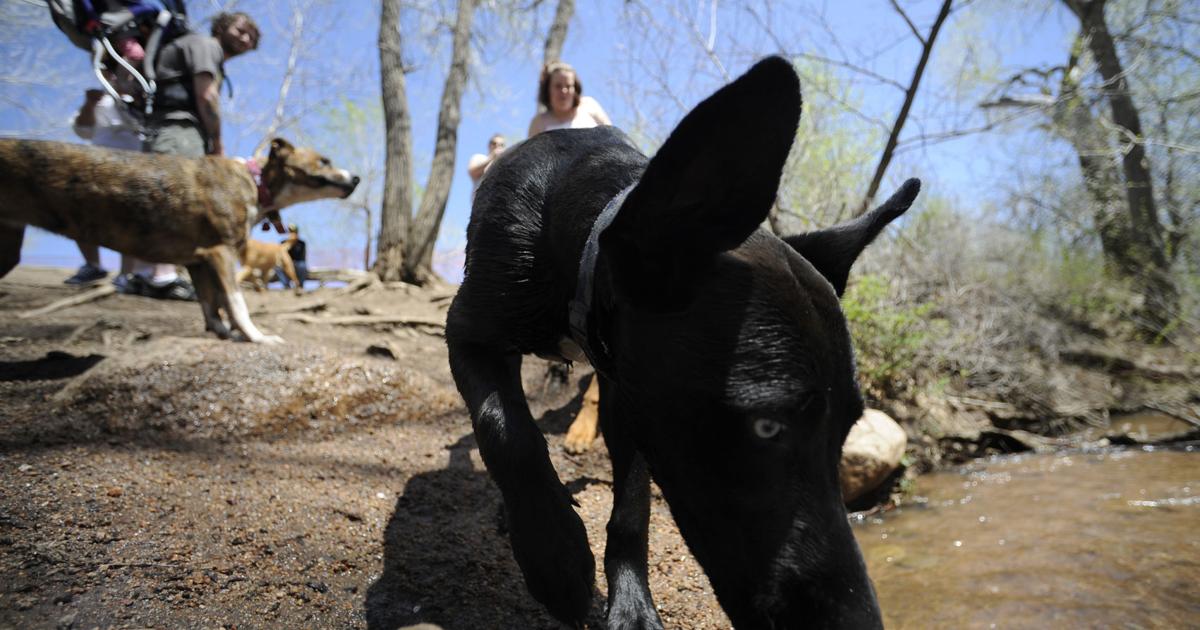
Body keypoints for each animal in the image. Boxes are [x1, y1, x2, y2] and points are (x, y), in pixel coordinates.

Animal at [0, 138, 355, 343]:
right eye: (324, 160)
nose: (356, 178)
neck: (255, 183)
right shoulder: (220, 252)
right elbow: (237, 302)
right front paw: (258, 337)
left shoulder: (198, 261)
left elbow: (212, 304)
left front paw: (224, 332)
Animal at [446, 56, 921, 624]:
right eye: (767, 426)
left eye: (848, 428)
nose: (863, 623)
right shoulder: (469, 335)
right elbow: (507, 434)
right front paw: (554, 555)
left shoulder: (631, 395)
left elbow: (632, 507)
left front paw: (631, 605)